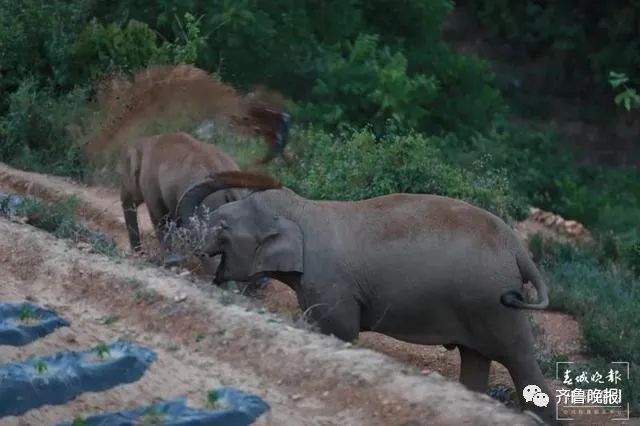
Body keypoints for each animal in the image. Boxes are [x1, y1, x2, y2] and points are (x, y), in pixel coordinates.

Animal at [178, 171, 556, 424]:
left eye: (223, 227)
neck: (304, 209)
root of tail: (520, 250)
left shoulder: (331, 283)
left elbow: (340, 333)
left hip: (494, 304)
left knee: (519, 359)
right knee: (476, 360)